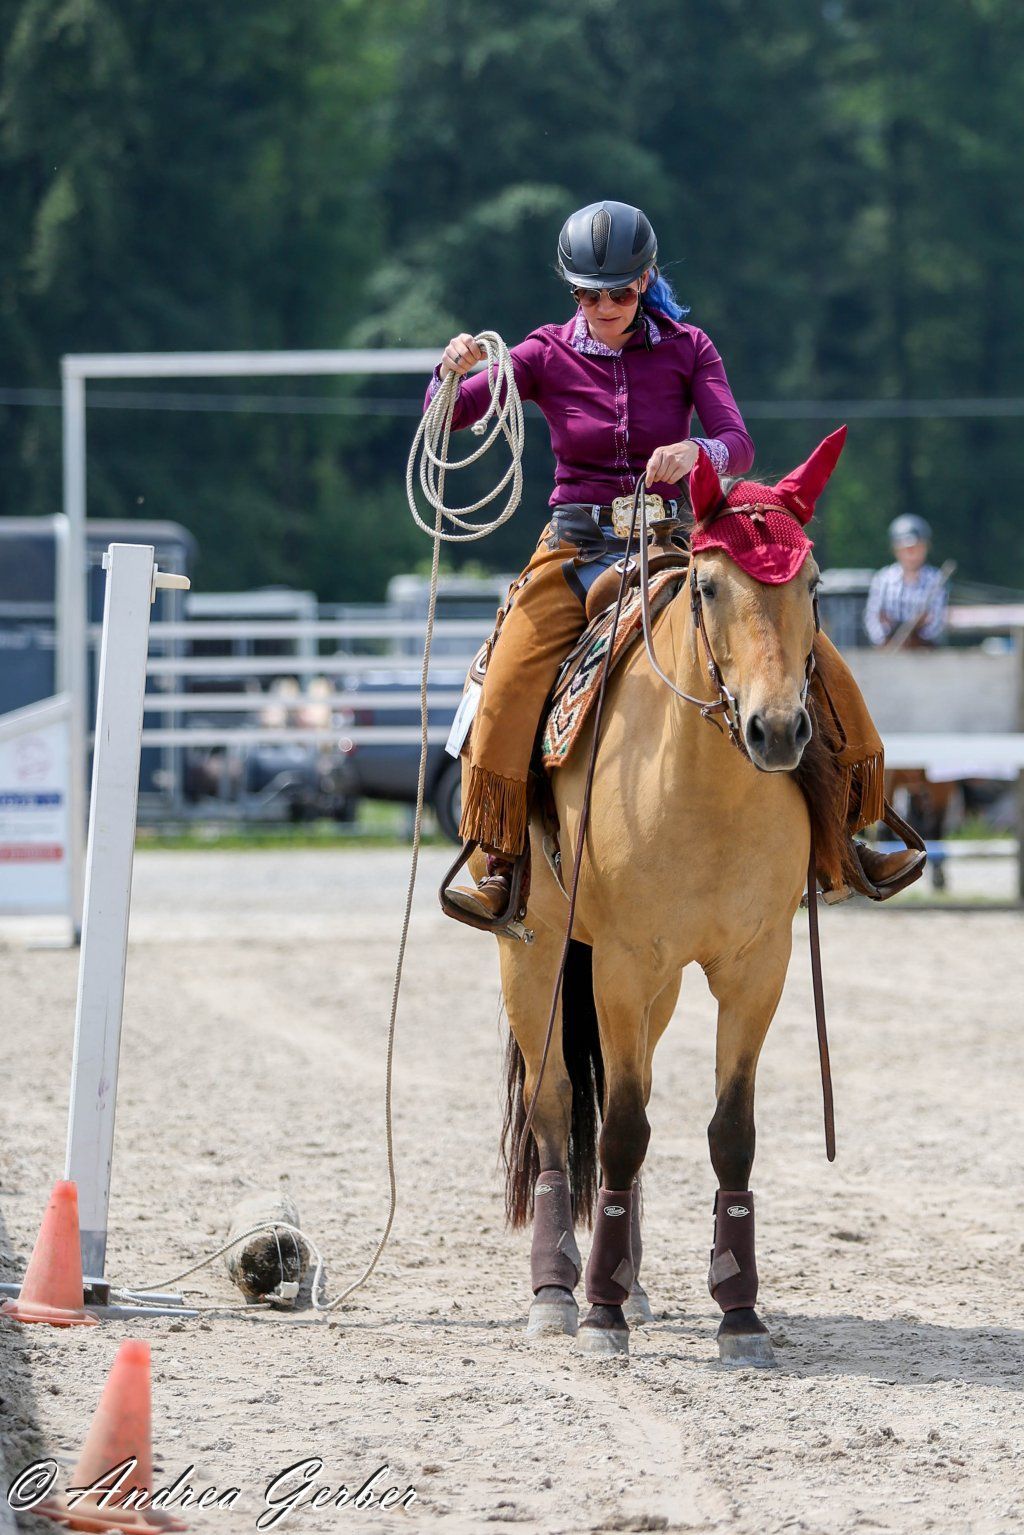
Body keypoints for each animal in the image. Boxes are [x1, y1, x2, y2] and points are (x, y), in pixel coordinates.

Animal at [467, 451, 853, 1366]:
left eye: (813, 583)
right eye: (709, 586)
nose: (776, 729)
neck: (703, 790)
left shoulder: (756, 969)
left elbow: (729, 1130)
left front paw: (740, 1312)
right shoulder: (619, 964)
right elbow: (619, 1129)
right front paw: (599, 1312)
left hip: (661, 987)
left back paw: (632, 1280)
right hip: (535, 955)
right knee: (557, 1107)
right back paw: (558, 1289)